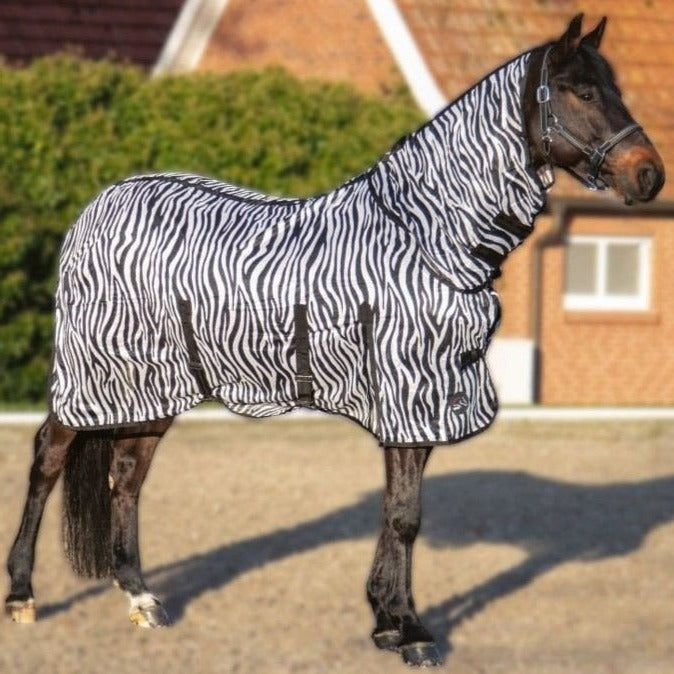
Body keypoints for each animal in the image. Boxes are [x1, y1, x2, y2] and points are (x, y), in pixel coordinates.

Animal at [5, 14, 665, 667]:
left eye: (615, 87)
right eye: (582, 92)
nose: (649, 174)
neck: (426, 239)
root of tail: (99, 203)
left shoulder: (422, 402)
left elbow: (397, 511)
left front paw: (385, 621)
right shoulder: (408, 392)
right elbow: (405, 517)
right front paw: (413, 632)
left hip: (153, 387)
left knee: (126, 476)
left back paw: (141, 598)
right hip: (91, 374)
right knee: (47, 460)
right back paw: (22, 596)